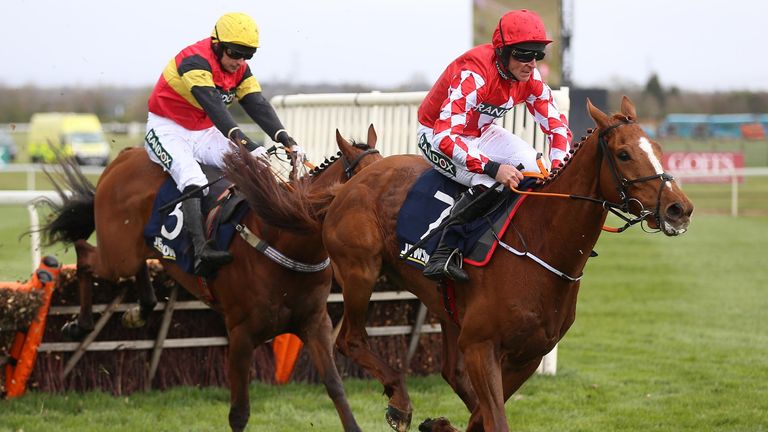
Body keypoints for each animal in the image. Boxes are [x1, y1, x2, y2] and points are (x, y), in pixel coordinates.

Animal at [39, 125, 380, 432]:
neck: (284, 239)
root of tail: (125, 155)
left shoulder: (314, 323)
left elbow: (335, 387)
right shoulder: (241, 334)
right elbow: (239, 412)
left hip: (134, 250)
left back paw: (140, 310)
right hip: (117, 256)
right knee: (84, 253)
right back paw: (79, 323)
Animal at [248, 96, 696, 430]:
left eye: (658, 150)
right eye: (624, 154)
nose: (679, 209)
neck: (541, 246)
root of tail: (351, 184)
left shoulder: (528, 355)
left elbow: (482, 415)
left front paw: (442, 424)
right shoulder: (483, 346)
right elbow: (493, 418)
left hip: (441, 304)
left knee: (449, 370)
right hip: (360, 270)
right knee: (351, 340)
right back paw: (400, 401)